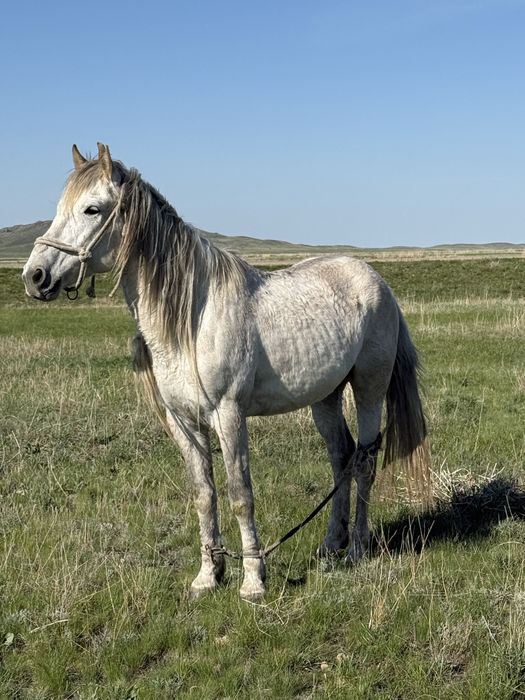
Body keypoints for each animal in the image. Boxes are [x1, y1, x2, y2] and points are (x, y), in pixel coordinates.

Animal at [23, 143, 430, 600]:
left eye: (92, 209)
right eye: (60, 208)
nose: (34, 276)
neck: (192, 320)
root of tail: (377, 281)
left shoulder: (229, 415)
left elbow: (239, 494)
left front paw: (253, 580)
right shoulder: (184, 422)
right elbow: (204, 495)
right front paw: (208, 575)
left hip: (368, 389)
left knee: (364, 463)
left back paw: (357, 548)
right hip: (324, 397)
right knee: (340, 457)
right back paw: (330, 545)